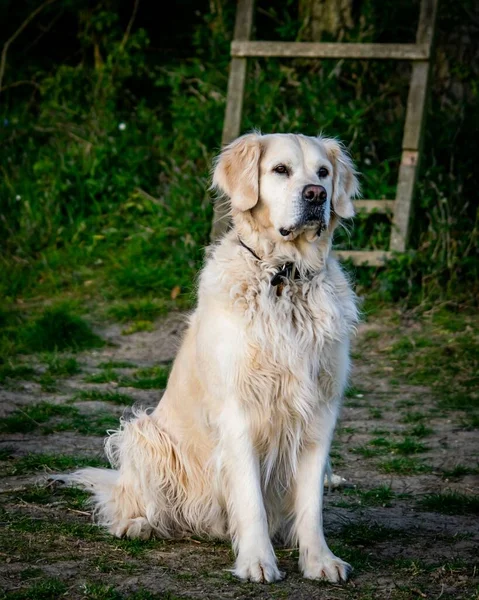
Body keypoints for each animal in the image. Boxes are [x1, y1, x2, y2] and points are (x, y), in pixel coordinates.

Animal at [60, 131, 360, 580]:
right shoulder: (238, 411)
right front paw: (257, 561)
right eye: (281, 169)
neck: (284, 278)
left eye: (323, 172)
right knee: (130, 500)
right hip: (143, 435)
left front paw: (319, 560)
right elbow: (250, 499)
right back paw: (137, 524)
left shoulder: (321, 410)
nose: (316, 195)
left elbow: (311, 504)